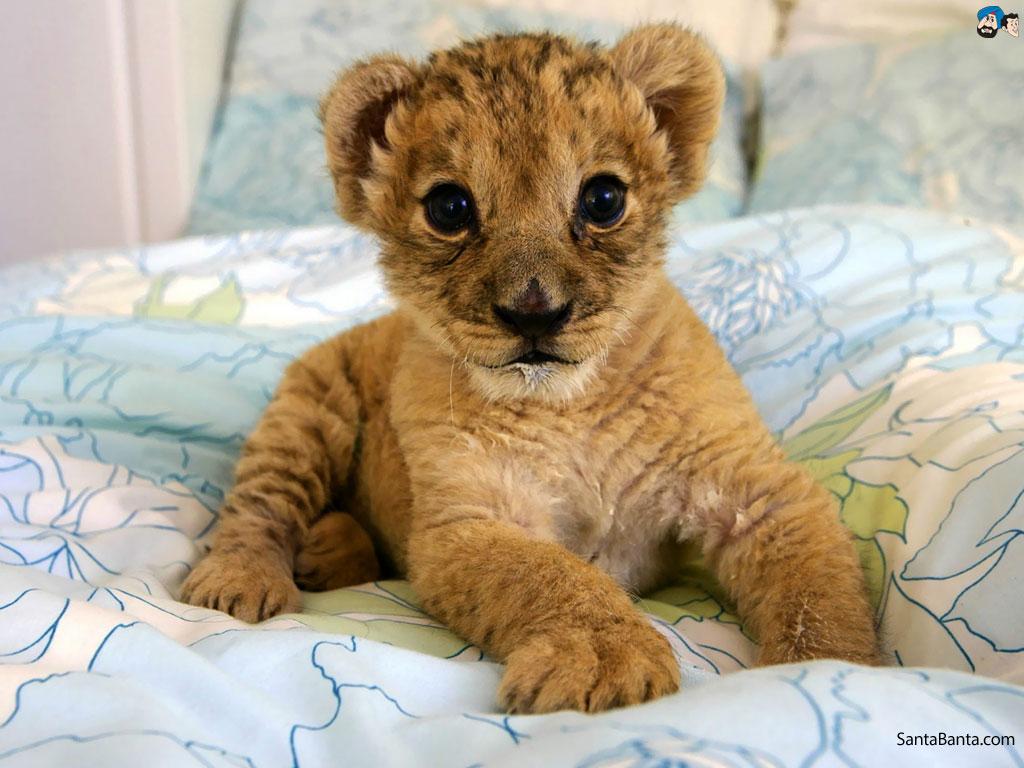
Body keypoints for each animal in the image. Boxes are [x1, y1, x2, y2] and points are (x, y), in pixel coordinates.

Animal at [182, 24, 879, 714]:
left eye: (603, 199)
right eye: (450, 208)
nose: (535, 313)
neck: (571, 405)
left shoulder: (755, 493)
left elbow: (817, 596)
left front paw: (823, 674)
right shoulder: (468, 521)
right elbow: (549, 575)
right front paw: (606, 661)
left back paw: (328, 550)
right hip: (306, 412)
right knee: (259, 505)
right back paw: (242, 582)